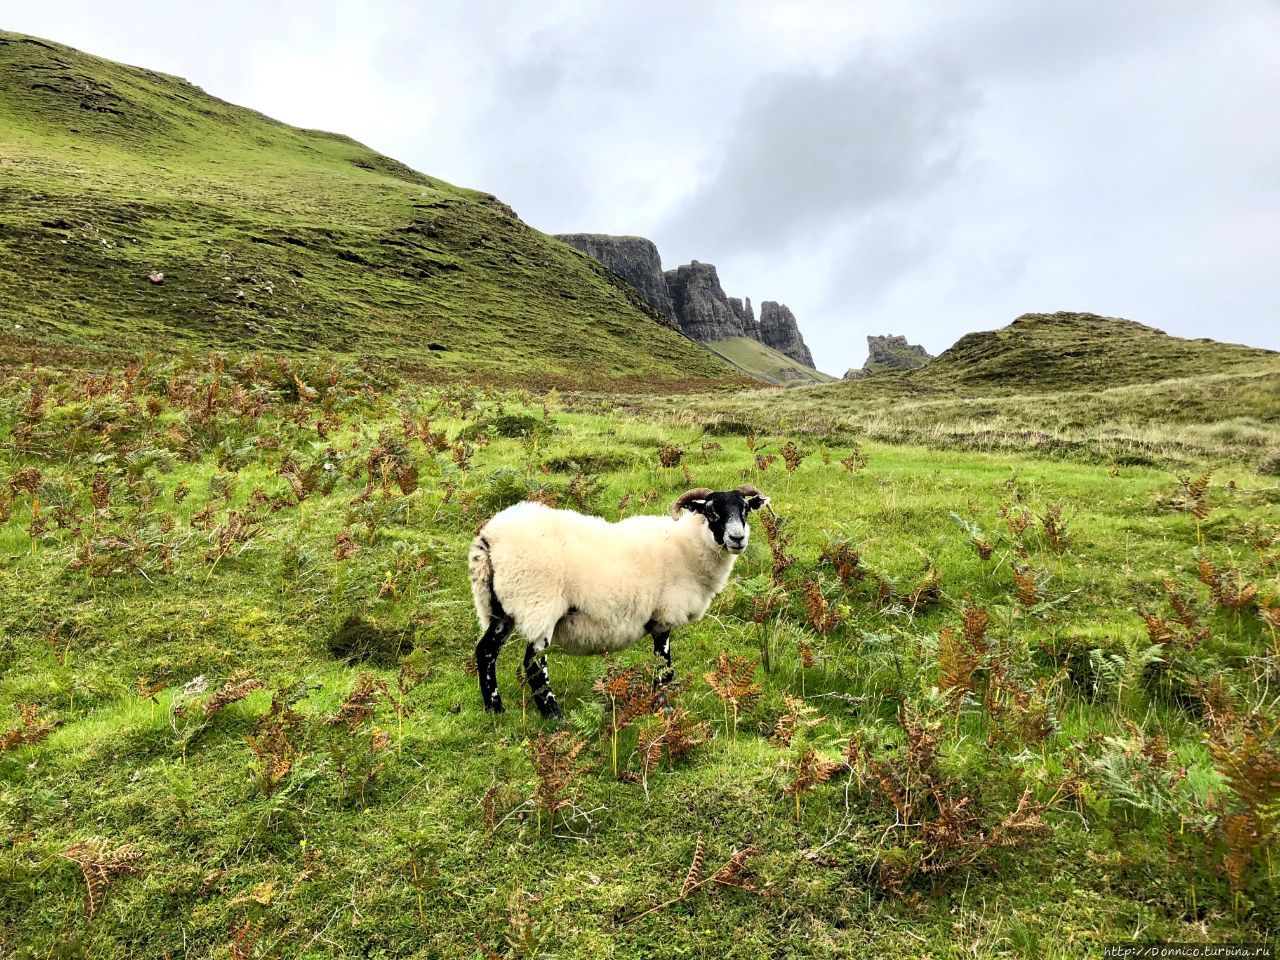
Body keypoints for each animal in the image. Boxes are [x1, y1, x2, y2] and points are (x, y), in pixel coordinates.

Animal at [471, 483, 768, 716]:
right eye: (711, 511)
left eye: (745, 510)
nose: (738, 538)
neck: (686, 549)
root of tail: (488, 538)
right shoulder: (664, 616)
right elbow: (664, 667)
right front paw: (664, 708)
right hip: (537, 604)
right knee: (533, 664)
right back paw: (554, 715)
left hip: (500, 609)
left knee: (485, 652)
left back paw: (495, 709)